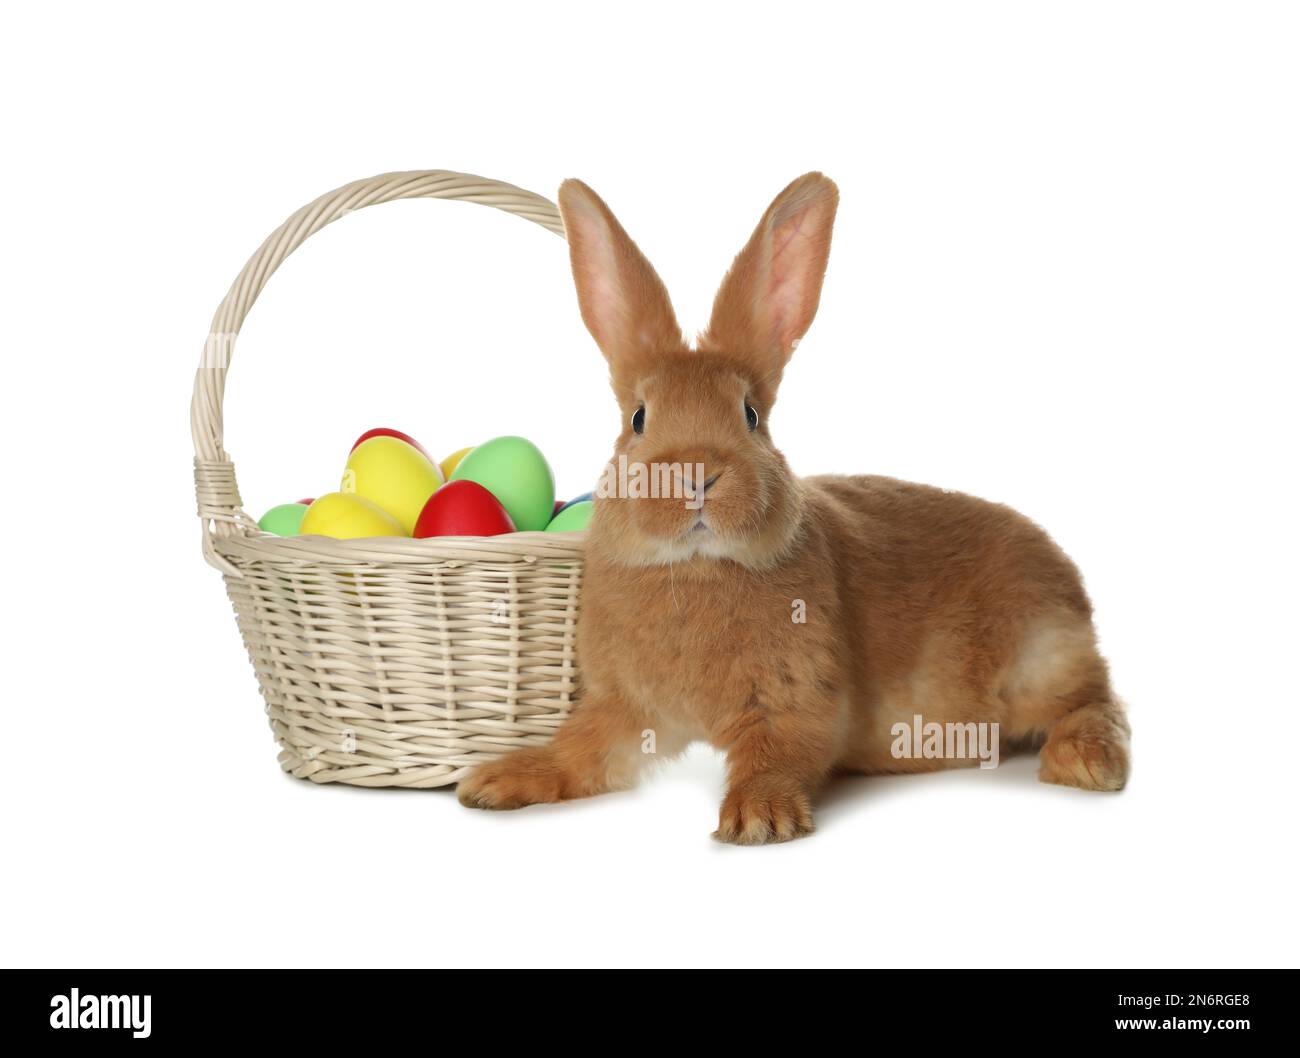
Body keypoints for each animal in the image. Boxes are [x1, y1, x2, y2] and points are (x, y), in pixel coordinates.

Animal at [457, 172, 1130, 843]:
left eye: (751, 415)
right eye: (638, 419)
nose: (695, 474)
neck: (697, 566)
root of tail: (1070, 584)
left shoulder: (798, 696)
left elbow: (779, 752)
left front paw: (759, 818)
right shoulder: (625, 708)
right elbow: (579, 753)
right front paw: (495, 782)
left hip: (1041, 657)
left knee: (1097, 700)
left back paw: (1087, 763)